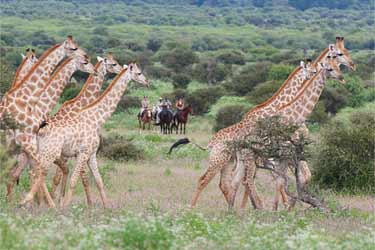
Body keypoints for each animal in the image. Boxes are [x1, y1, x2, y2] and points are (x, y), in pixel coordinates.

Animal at [20, 63, 150, 208]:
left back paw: (36, 203)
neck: (96, 118)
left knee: (34, 172)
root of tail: (39, 131)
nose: (147, 82)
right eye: (139, 73)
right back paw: (33, 202)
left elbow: (99, 181)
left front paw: (106, 207)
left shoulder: (91, 154)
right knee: (37, 173)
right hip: (50, 153)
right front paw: (66, 206)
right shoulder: (83, 153)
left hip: (40, 153)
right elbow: (75, 180)